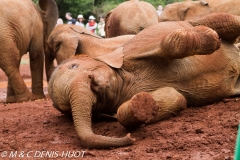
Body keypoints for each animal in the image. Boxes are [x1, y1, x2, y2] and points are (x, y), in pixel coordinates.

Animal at [48, 12, 240, 149]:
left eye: (73, 66)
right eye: (66, 108)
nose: (129, 139)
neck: (125, 80)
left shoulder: (133, 50)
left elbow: (170, 43)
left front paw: (211, 38)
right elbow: (176, 97)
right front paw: (142, 104)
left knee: (227, 20)